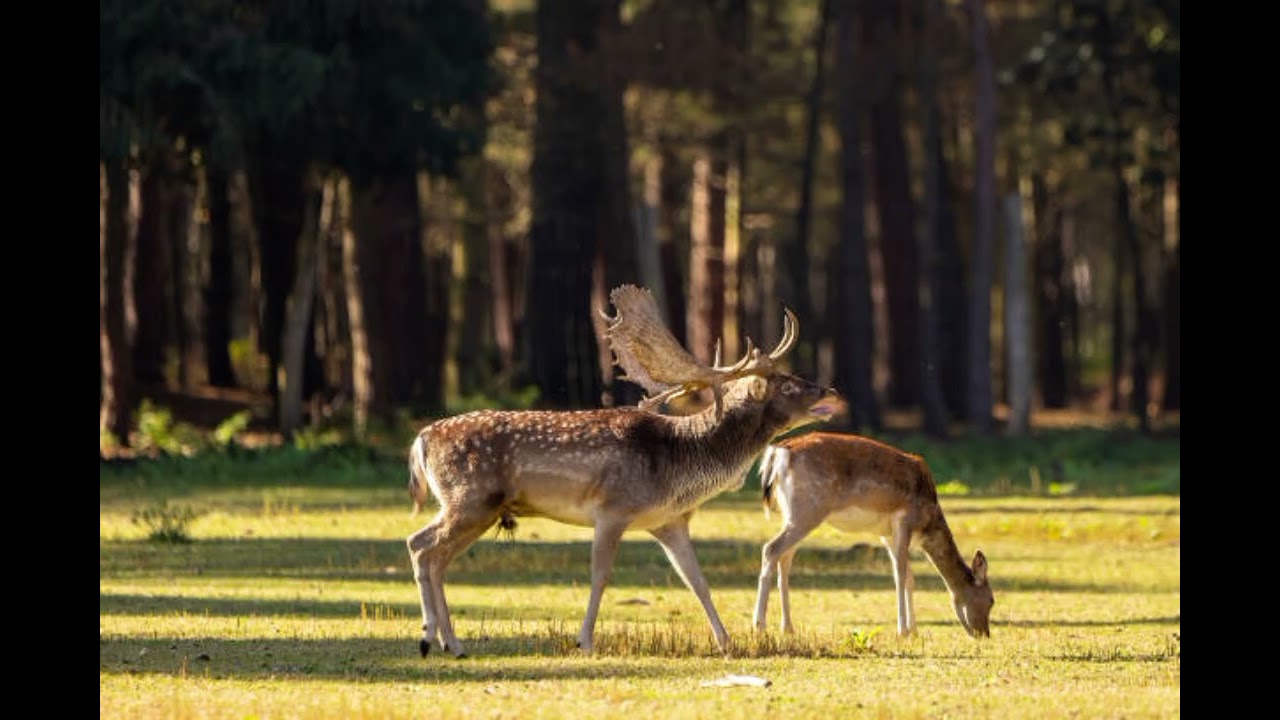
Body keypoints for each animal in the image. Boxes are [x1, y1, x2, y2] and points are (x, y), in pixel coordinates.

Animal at [405, 285, 843, 658]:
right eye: (786, 385)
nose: (832, 391)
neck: (682, 467)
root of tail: (421, 439)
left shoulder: (669, 521)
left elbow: (697, 580)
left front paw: (726, 642)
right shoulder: (613, 509)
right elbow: (601, 575)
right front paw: (584, 641)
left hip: (478, 509)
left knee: (430, 553)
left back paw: (449, 643)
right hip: (470, 500)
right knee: (423, 547)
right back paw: (433, 639)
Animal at [751, 432, 993, 639]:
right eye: (991, 600)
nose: (984, 634)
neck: (927, 521)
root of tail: (778, 453)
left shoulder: (887, 535)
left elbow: (909, 578)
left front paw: (914, 631)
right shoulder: (904, 521)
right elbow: (900, 575)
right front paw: (902, 631)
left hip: (791, 512)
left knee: (785, 558)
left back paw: (788, 627)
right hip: (808, 510)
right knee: (771, 549)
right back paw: (759, 625)